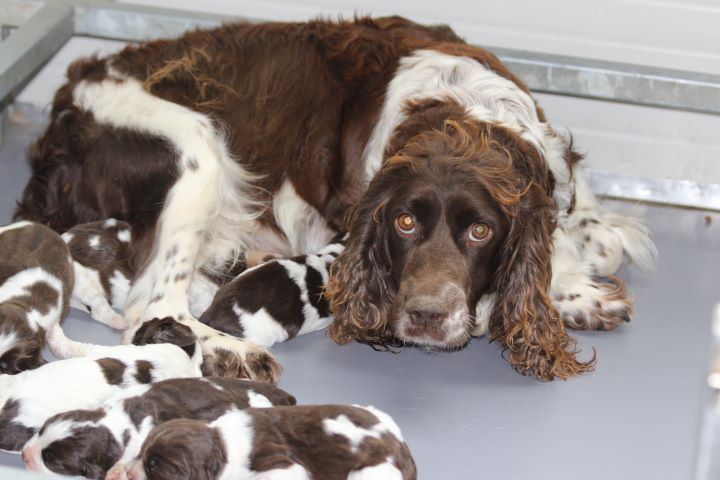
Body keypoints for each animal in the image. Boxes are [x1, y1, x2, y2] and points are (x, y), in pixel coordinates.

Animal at [15, 17, 657, 380]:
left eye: (481, 231)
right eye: (403, 223)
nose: (425, 315)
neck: (462, 111)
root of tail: (61, 114)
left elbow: (596, 237)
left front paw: (574, 287)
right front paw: (571, 291)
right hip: (195, 148)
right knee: (150, 307)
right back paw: (228, 352)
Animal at [126, 405, 415, 480]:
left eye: (154, 466)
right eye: (141, 453)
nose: (128, 473)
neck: (223, 445)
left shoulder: (282, 466)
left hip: (370, 473)